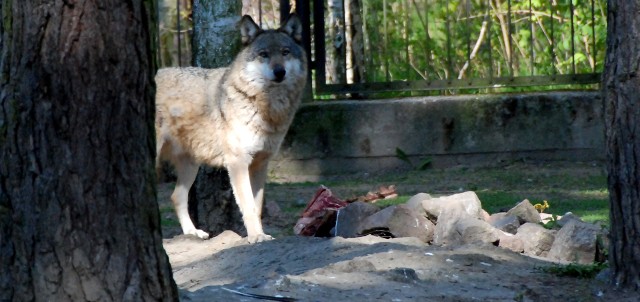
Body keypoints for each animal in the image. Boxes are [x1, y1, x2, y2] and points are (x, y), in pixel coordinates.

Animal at [154, 14, 306, 243]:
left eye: (285, 52)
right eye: (263, 54)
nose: (279, 72)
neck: (265, 107)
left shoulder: (260, 164)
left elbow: (257, 207)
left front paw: (261, 234)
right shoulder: (238, 163)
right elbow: (249, 206)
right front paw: (256, 236)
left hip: (191, 165)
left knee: (176, 196)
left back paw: (193, 233)